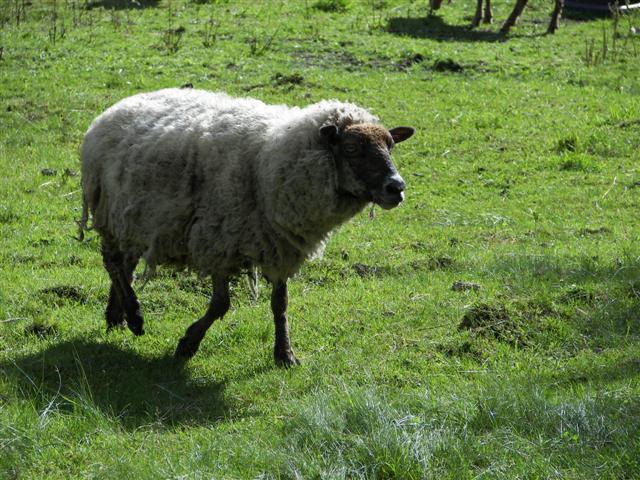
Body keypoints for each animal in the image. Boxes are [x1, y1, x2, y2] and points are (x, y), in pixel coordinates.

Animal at [79, 88, 415, 366]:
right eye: (352, 149)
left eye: (390, 146)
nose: (396, 187)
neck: (271, 164)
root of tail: (121, 104)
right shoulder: (218, 241)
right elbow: (220, 305)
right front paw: (188, 344)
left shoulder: (280, 248)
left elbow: (280, 304)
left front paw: (285, 354)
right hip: (109, 211)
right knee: (113, 263)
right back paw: (134, 316)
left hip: (132, 219)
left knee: (126, 265)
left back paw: (117, 317)